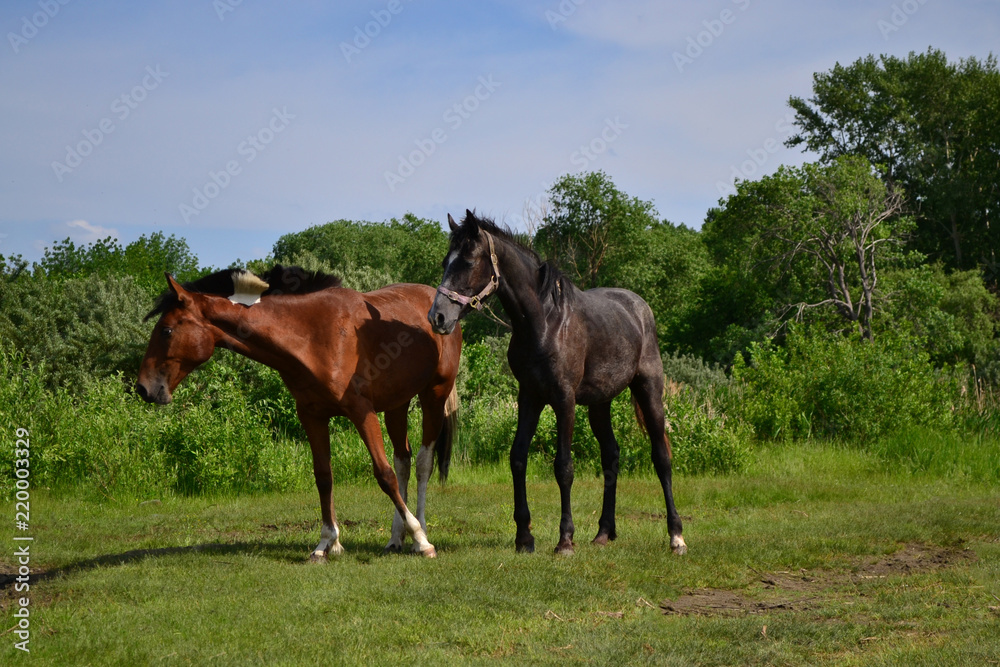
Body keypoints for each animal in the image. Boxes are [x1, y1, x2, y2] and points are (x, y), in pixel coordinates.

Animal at [136, 265, 462, 560]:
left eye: (166, 330)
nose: (143, 388)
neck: (312, 335)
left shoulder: (362, 412)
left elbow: (384, 475)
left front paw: (421, 539)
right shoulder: (312, 416)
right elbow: (324, 476)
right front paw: (327, 543)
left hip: (433, 396)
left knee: (422, 464)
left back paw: (419, 531)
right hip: (397, 404)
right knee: (403, 460)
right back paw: (395, 538)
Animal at [428, 211, 686, 555]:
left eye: (467, 262)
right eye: (446, 261)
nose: (438, 317)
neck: (544, 322)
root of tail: (639, 307)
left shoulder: (564, 399)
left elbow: (563, 467)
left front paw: (565, 539)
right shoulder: (530, 397)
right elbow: (518, 457)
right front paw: (524, 537)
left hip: (649, 390)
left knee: (661, 457)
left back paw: (676, 536)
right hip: (600, 404)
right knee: (611, 456)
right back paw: (604, 531)